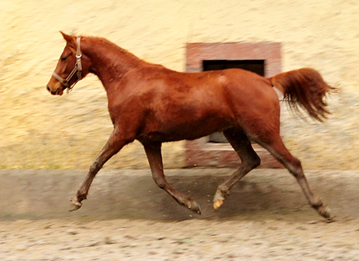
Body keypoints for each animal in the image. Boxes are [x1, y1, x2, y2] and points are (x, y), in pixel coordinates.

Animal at [46, 32, 336, 219]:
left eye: (64, 57)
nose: (51, 87)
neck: (128, 79)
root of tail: (267, 81)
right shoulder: (150, 140)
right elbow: (159, 178)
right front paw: (192, 205)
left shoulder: (123, 132)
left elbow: (96, 162)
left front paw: (76, 199)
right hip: (234, 132)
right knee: (250, 160)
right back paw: (219, 196)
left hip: (262, 131)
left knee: (292, 163)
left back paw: (322, 207)